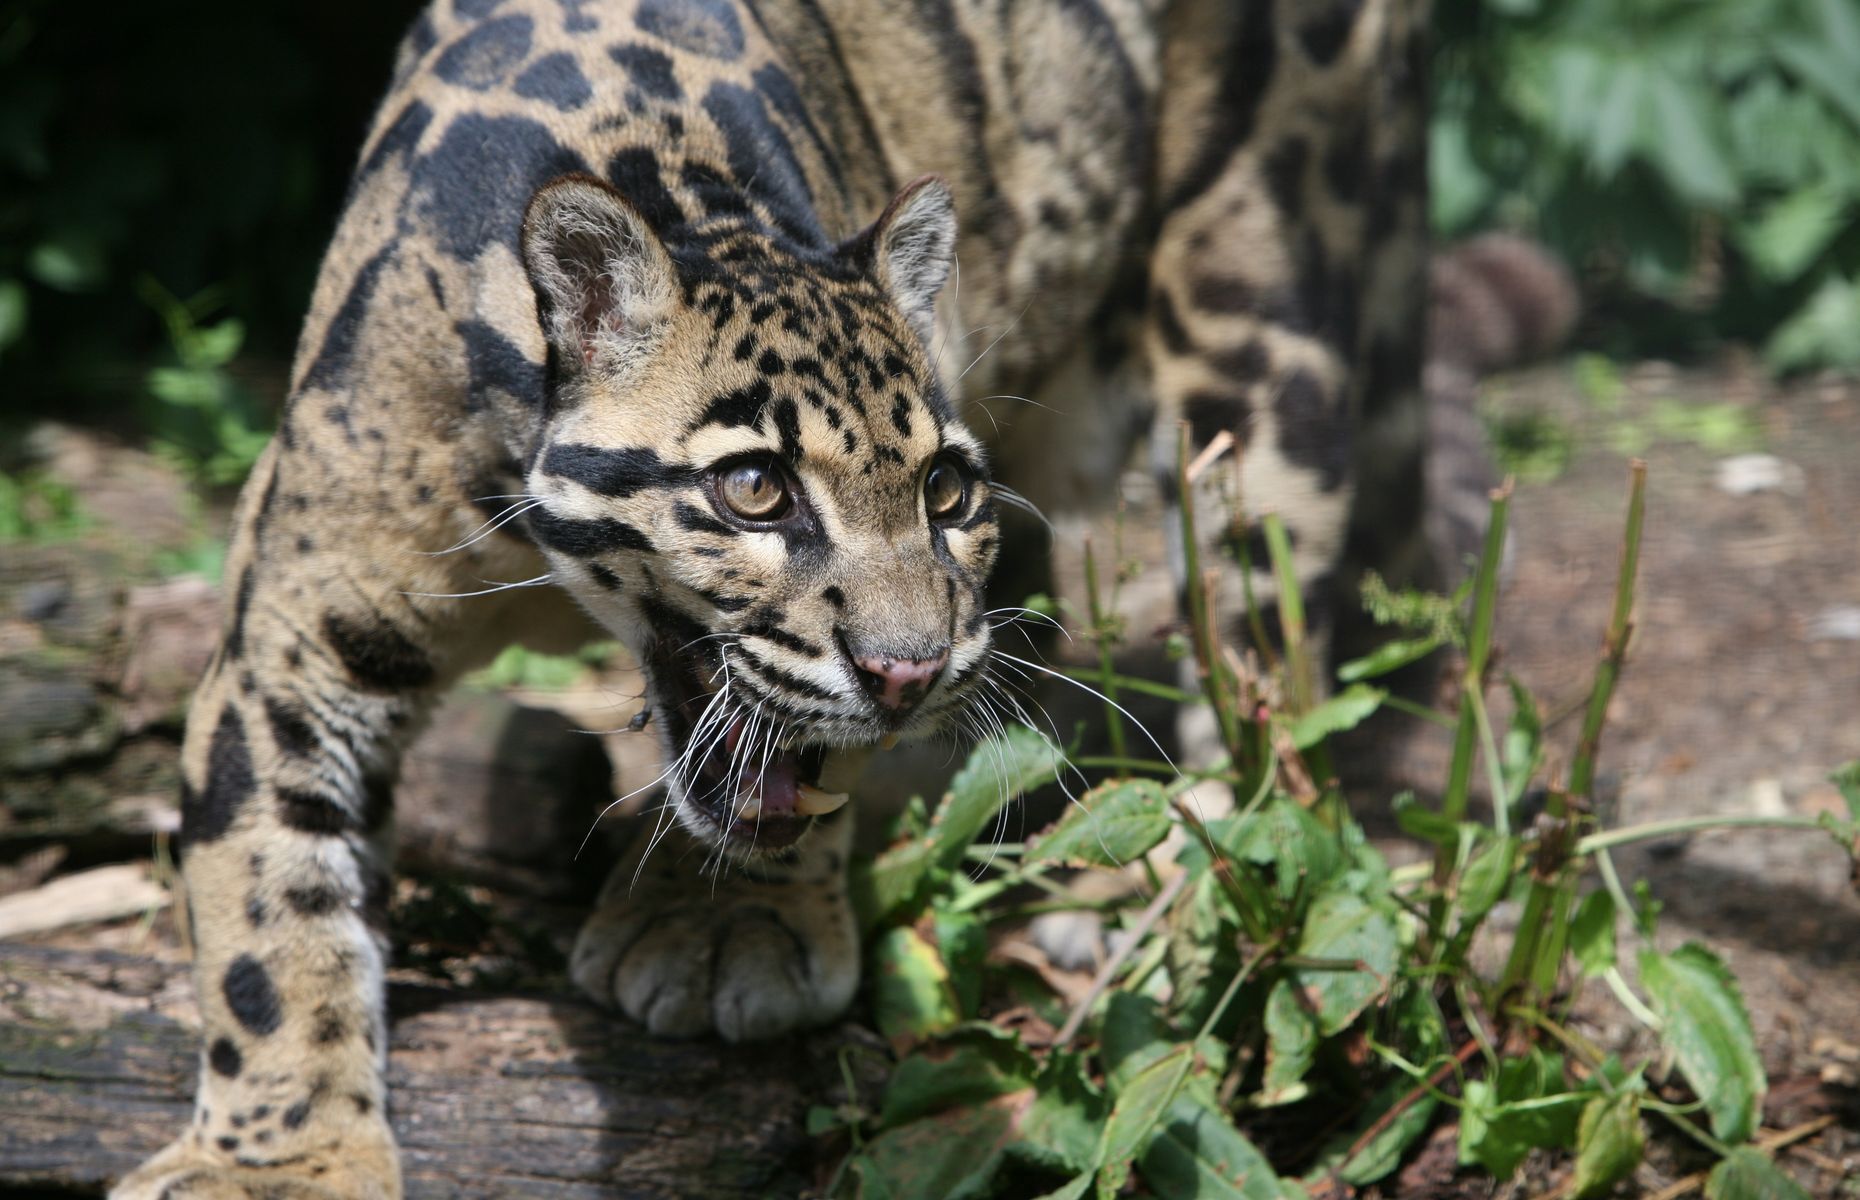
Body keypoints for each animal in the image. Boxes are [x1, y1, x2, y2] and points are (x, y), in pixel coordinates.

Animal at [116, 0, 1569, 1190]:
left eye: (942, 490)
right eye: (756, 489)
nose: (909, 670)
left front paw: (728, 929)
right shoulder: (296, 632)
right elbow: (265, 906)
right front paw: (277, 1161)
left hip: (1262, 333)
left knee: (1271, 688)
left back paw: (1168, 890)